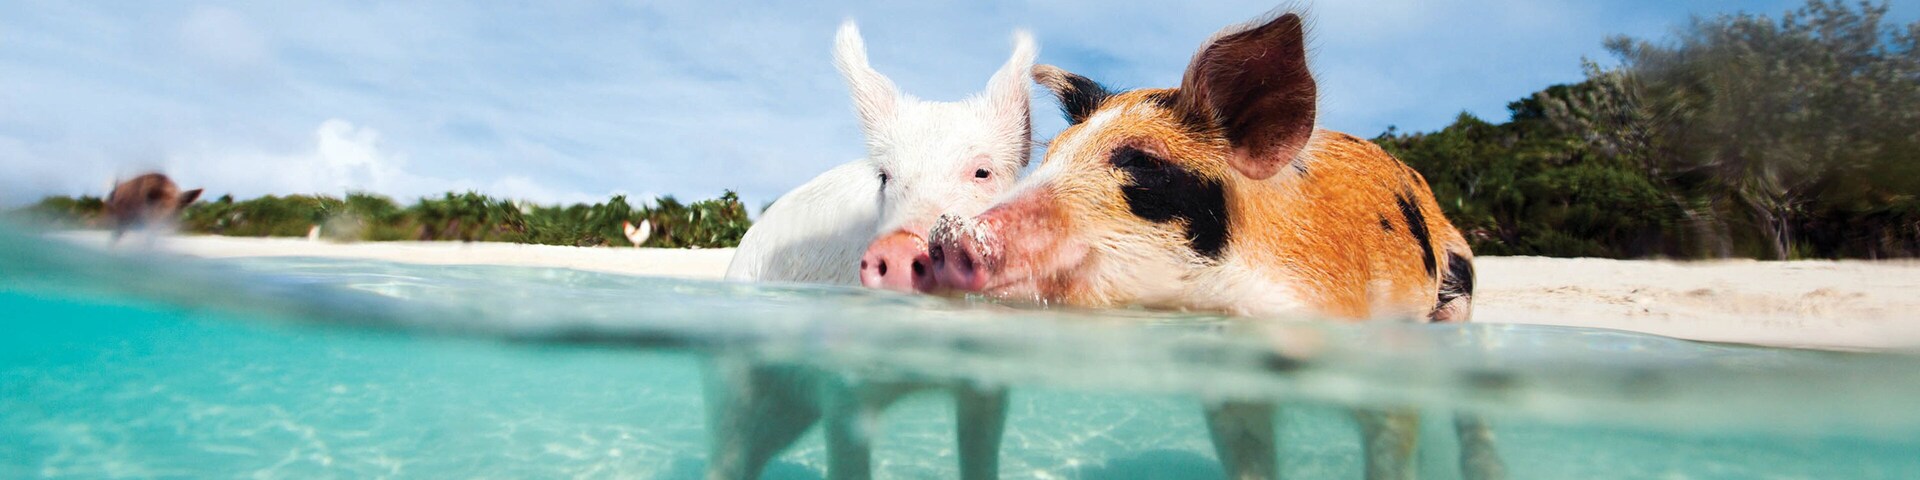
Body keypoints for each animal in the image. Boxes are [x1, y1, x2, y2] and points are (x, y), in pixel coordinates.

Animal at [707, 21, 1034, 480]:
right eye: (884, 176)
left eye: (982, 172)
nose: (899, 248)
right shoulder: (843, 387)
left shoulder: (988, 383)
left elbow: (981, 455)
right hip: (733, 374)